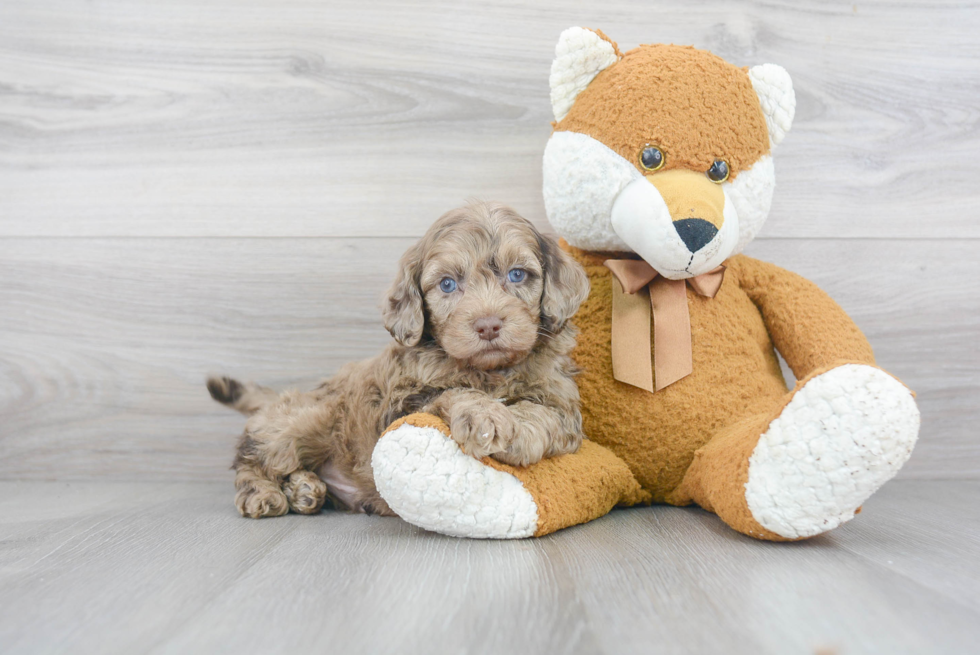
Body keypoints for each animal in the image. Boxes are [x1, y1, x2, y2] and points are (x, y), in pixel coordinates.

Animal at [208, 202, 588, 520]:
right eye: (447, 284)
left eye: (517, 274)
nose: (488, 325)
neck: (488, 372)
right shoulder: (401, 403)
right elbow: (452, 393)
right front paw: (485, 415)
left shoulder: (563, 400)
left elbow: (546, 414)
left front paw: (519, 429)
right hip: (304, 419)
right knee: (252, 455)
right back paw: (263, 493)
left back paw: (305, 489)